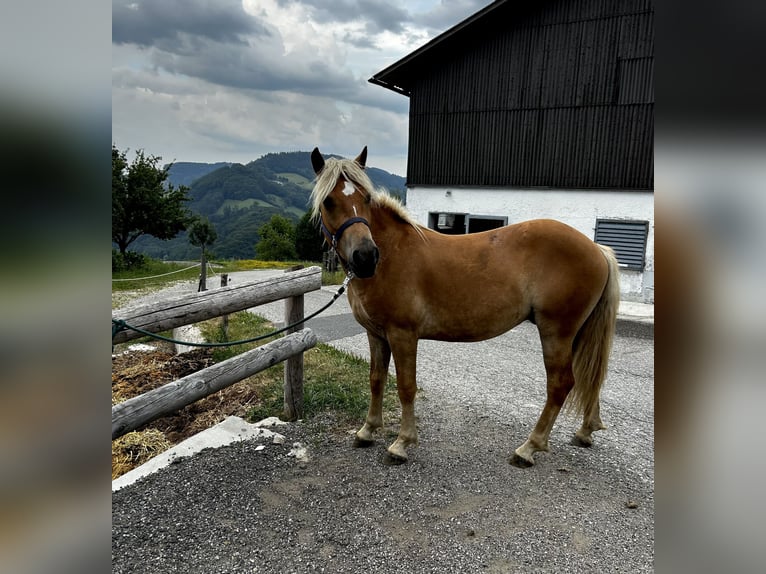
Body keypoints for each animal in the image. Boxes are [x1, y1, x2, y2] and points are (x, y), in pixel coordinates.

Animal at [308, 147, 620, 468]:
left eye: (366, 199)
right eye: (329, 201)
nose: (366, 257)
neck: (393, 254)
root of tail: (597, 249)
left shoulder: (402, 334)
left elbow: (406, 386)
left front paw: (402, 443)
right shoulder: (376, 334)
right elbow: (376, 380)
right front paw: (368, 430)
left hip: (556, 332)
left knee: (560, 384)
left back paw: (529, 447)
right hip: (577, 332)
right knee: (588, 378)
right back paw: (585, 431)